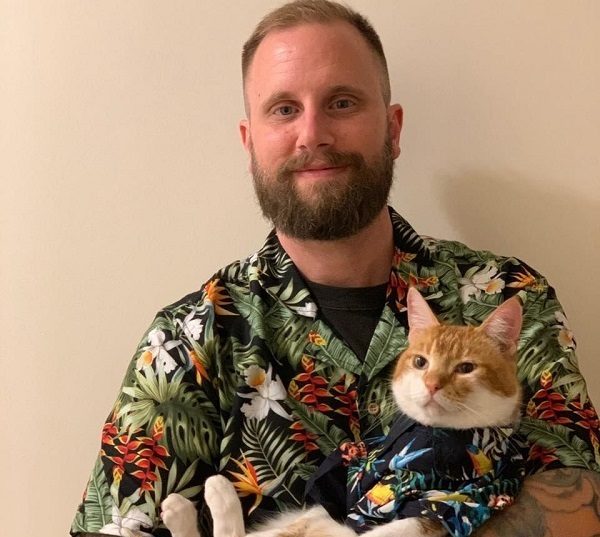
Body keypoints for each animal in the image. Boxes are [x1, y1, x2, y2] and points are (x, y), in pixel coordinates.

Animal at [162, 286, 524, 536]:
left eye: (466, 368)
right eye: (421, 362)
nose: (433, 384)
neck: (419, 437)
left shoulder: (452, 503)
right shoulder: (340, 484)